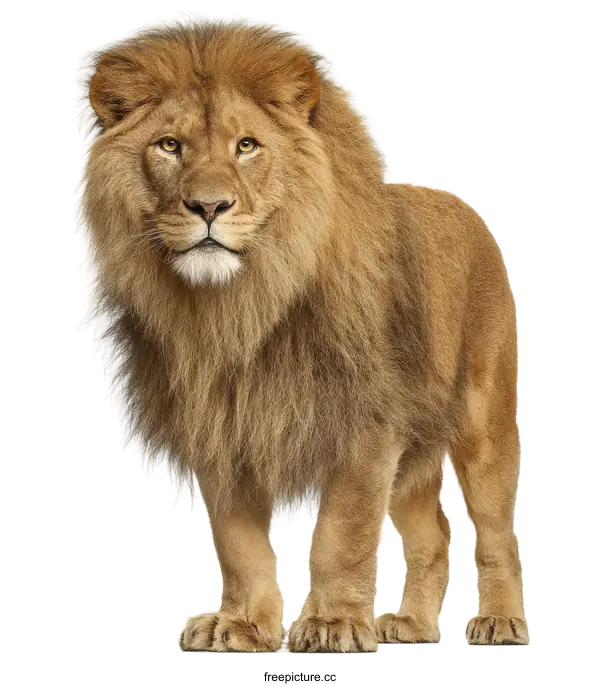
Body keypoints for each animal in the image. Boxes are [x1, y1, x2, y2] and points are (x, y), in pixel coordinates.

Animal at [74, 12, 529, 653]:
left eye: (246, 146)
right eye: (169, 146)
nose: (208, 206)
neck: (238, 308)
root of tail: (463, 207)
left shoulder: (365, 427)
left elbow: (345, 535)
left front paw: (332, 624)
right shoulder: (223, 429)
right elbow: (238, 546)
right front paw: (243, 625)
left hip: (483, 422)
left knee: (496, 531)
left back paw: (502, 622)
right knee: (435, 532)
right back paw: (412, 626)